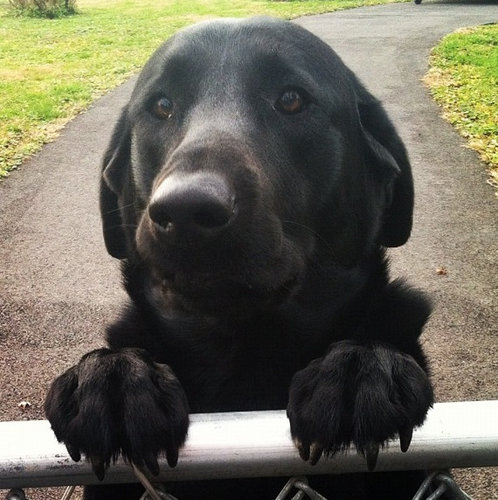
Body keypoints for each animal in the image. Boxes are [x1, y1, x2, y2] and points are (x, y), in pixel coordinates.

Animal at [47, 16, 436, 500]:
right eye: (161, 106)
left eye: (291, 99)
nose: (186, 210)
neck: (241, 351)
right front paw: (112, 375)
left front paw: (364, 367)